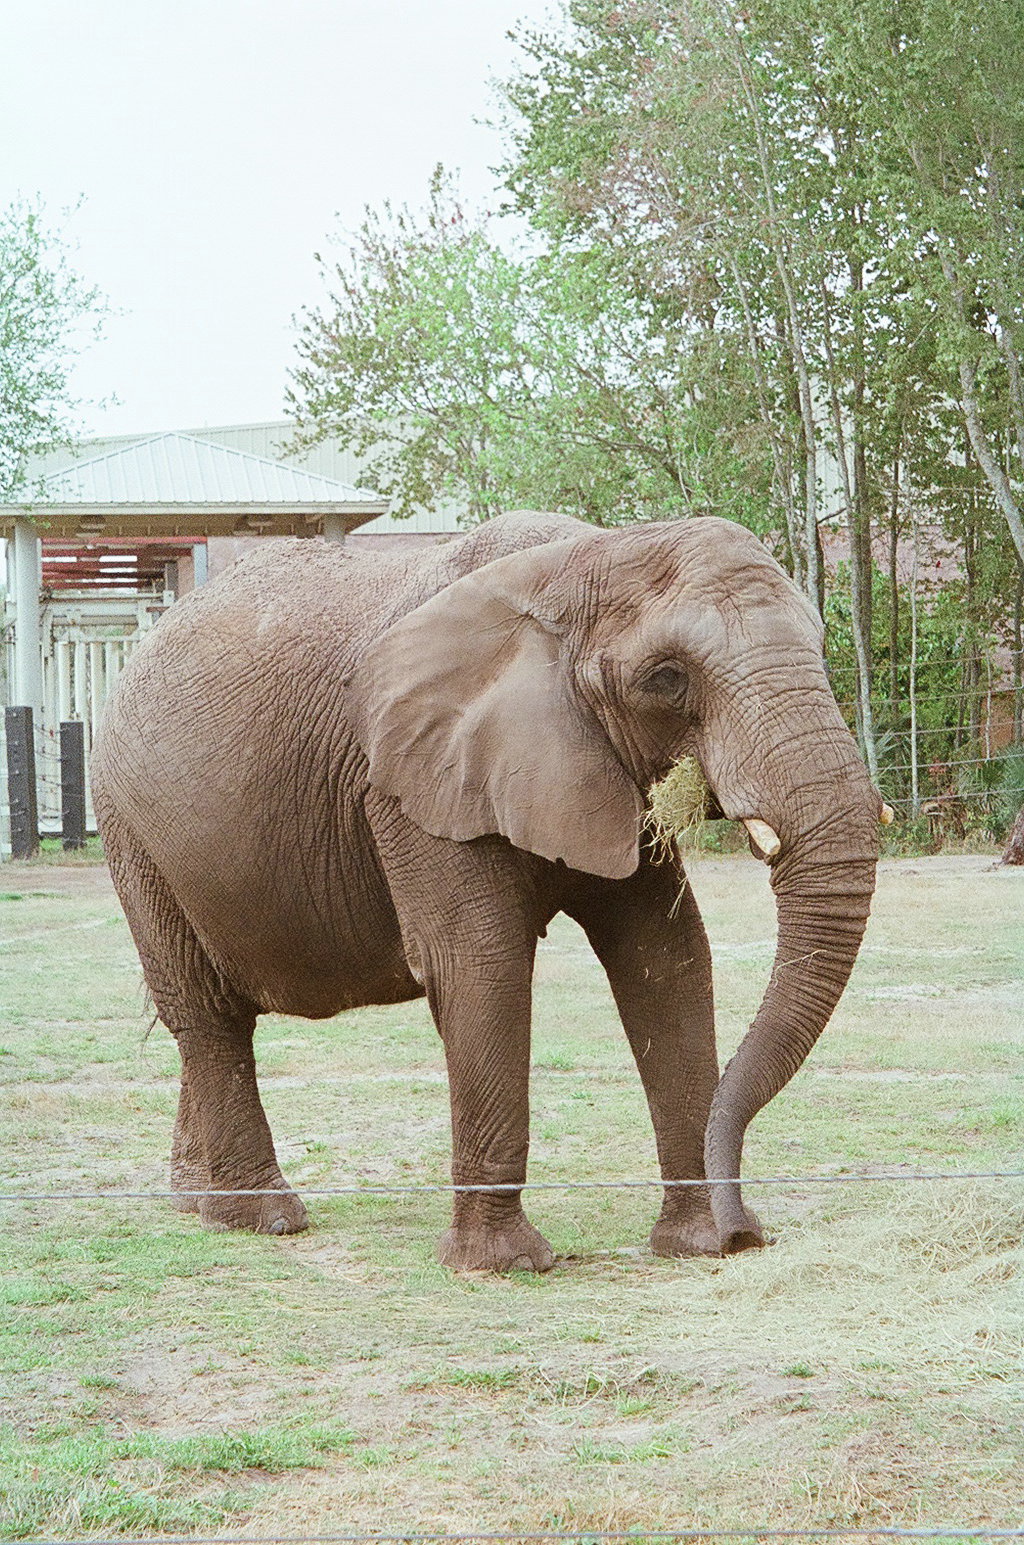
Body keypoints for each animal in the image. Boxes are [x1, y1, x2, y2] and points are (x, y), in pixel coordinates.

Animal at [91, 509, 882, 1270]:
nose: (749, 1232)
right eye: (667, 677)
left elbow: (666, 957)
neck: (589, 558)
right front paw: (504, 1264)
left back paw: (195, 1203)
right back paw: (263, 1218)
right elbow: (480, 963)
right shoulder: (410, 780)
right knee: (206, 1014)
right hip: (132, 829)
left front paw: (699, 1243)